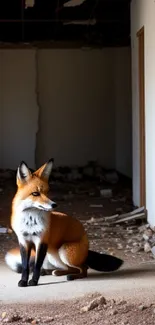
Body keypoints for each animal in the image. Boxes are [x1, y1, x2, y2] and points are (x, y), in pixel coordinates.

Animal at [4, 158, 123, 286]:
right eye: (35, 193)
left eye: (47, 192)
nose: (54, 205)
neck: (30, 222)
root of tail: (86, 248)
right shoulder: (23, 241)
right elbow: (25, 266)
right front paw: (23, 281)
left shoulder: (42, 241)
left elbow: (36, 266)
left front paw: (34, 281)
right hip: (52, 256)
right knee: (67, 268)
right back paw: (52, 272)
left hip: (64, 251)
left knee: (83, 268)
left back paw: (72, 276)